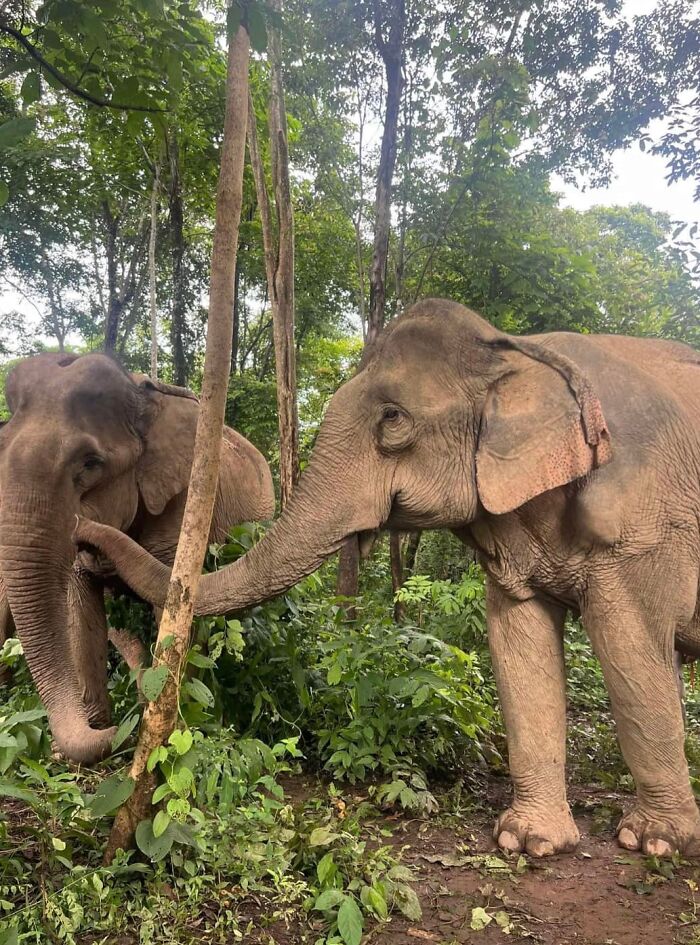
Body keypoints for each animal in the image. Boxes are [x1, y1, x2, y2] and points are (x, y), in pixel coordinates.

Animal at [0, 351, 274, 763]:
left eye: (90, 463)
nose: (121, 735)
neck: (140, 390)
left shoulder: (186, 504)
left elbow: (173, 612)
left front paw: (180, 725)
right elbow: (81, 610)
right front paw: (94, 735)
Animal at [73, 298, 700, 858]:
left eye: (393, 418)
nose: (83, 539)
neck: (516, 349)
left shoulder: (647, 525)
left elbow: (631, 648)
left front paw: (654, 842)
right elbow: (519, 650)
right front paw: (529, 842)